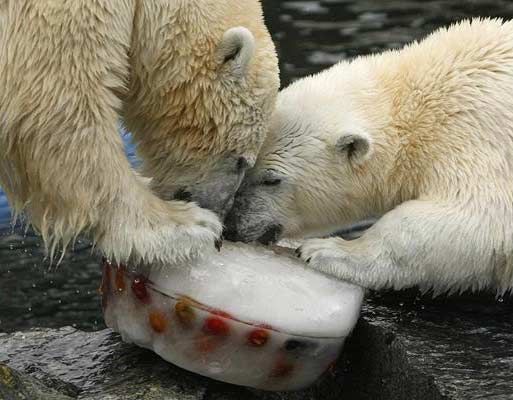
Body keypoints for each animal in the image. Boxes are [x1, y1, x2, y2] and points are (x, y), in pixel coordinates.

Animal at [225, 18, 513, 294]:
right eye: (243, 168)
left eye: (271, 179)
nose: (231, 225)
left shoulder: (474, 135)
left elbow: (478, 217)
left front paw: (325, 251)